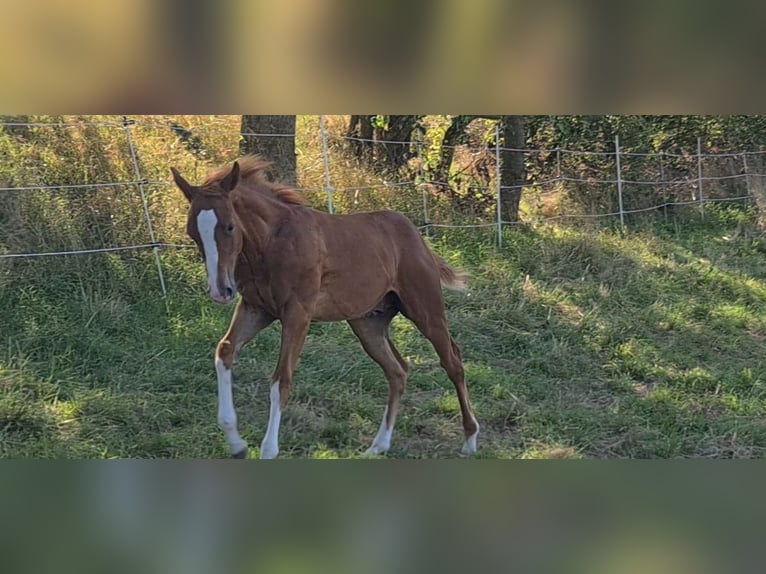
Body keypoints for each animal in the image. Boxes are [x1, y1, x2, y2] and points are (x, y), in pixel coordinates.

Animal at [174, 154, 480, 460]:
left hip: (426, 310)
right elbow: (225, 351)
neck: (272, 243)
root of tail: (415, 234)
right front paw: (236, 443)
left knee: (453, 362)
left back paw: (470, 440)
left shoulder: (297, 313)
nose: (220, 290)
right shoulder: (256, 308)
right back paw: (378, 445)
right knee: (398, 370)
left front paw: (268, 450)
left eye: (229, 226)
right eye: (192, 233)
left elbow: (281, 380)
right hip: (368, 324)